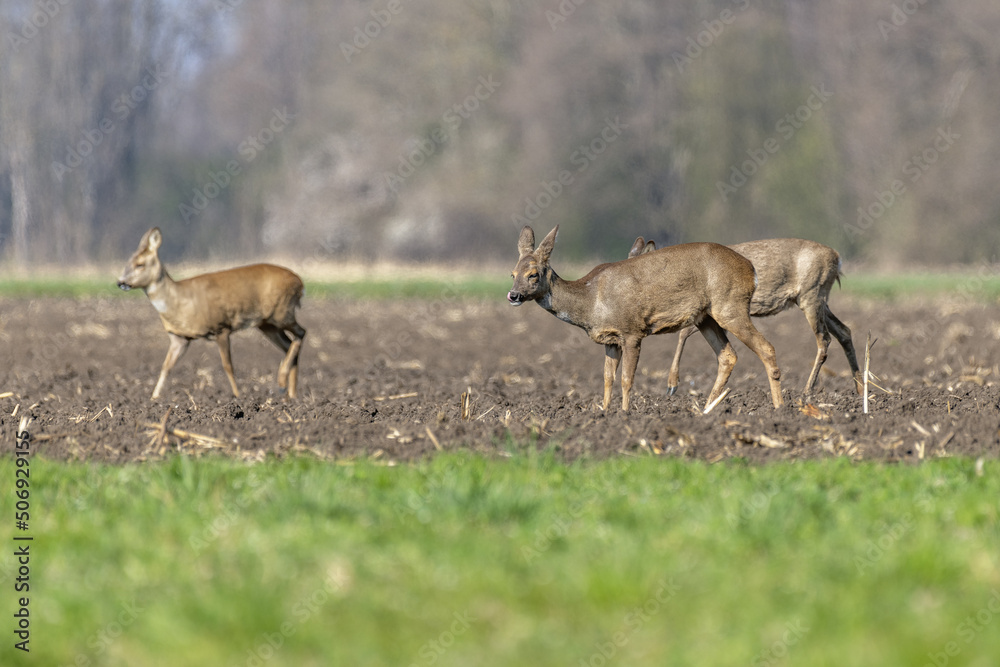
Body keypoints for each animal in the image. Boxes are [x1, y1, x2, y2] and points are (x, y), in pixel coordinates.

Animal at [117, 227, 306, 400]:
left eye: (140, 264)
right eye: (127, 262)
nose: (120, 282)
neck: (179, 302)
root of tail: (300, 283)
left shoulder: (221, 327)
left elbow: (228, 365)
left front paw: (238, 396)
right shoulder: (179, 338)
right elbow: (166, 367)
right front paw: (153, 398)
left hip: (282, 312)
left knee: (301, 333)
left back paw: (282, 383)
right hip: (267, 324)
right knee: (289, 344)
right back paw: (291, 393)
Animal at [508, 225, 784, 412]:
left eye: (533, 274)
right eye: (513, 273)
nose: (513, 295)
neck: (590, 300)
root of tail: (751, 269)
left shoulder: (632, 331)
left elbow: (626, 379)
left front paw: (625, 413)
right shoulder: (611, 340)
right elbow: (607, 378)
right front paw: (604, 411)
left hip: (730, 305)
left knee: (767, 348)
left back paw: (779, 407)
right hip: (705, 316)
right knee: (727, 355)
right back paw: (706, 409)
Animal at [628, 236, 860, 395]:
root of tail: (837, 259)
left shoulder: (707, 308)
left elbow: (682, 333)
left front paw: (672, 385)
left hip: (811, 295)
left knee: (824, 339)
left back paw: (807, 391)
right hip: (819, 299)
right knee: (844, 331)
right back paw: (859, 389)